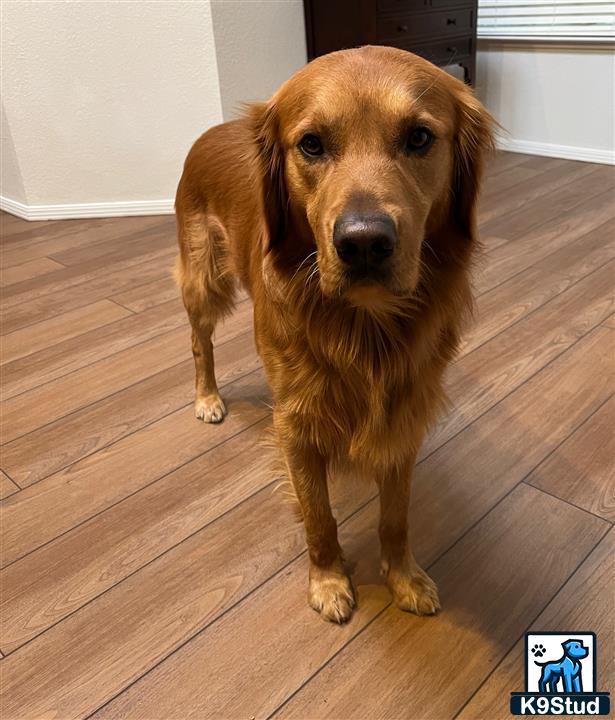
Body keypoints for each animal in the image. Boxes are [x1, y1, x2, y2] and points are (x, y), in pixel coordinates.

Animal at [176, 45, 494, 620]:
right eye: (311, 144)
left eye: (419, 137)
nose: (364, 242)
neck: (363, 328)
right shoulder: (295, 424)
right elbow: (318, 515)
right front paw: (327, 581)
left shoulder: (404, 415)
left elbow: (396, 516)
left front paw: (404, 577)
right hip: (203, 281)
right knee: (199, 343)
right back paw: (207, 397)